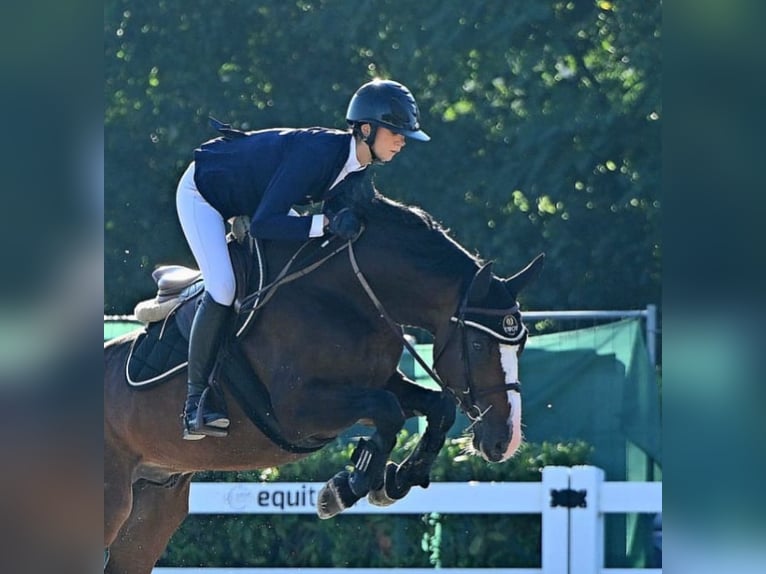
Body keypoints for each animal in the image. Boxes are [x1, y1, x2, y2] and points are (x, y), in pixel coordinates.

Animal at [103, 181, 544, 574]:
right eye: (478, 346)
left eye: (521, 344)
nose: (505, 441)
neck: (348, 295)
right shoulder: (297, 411)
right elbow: (388, 411)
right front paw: (345, 488)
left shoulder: (378, 381)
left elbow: (436, 406)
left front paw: (395, 480)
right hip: (110, 503)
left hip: (153, 506)